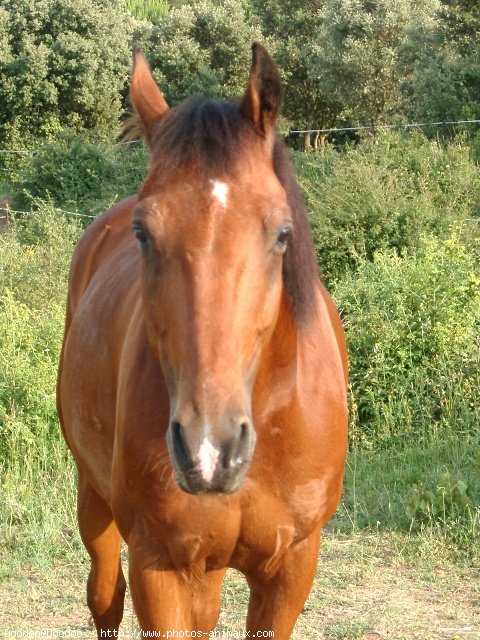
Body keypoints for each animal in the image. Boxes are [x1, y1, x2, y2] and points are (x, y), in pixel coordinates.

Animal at [58, 43, 346, 636]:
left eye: (282, 233)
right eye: (144, 233)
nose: (210, 448)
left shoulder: (292, 568)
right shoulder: (160, 565)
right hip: (94, 498)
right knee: (105, 595)